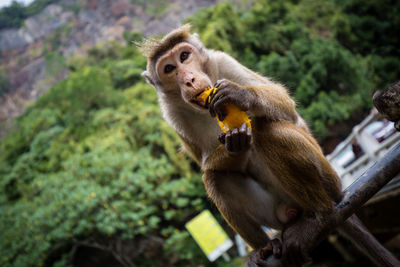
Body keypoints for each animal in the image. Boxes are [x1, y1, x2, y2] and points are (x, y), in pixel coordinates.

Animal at [140, 24, 396, 266]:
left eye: (184, 56)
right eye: (169, 68)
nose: (189, 80)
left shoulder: (223, 61)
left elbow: (287, 109)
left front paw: (242, 95)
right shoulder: (171, 114)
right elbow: (205, 163)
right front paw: (235, 143)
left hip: (328, 178)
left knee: (268, 130)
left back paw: (319, 214)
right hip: (275, 214)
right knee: (215, 178)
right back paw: (264, 247)